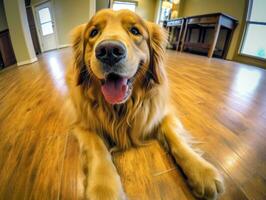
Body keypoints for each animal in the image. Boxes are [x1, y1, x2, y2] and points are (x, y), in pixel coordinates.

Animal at [65, 8, 223, 199]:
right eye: (94, 32)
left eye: (135, 31)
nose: (109, 51)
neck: (122, 108)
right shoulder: (83, 124)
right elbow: (98, 149)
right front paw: (104, 189)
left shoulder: (162, 113)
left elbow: (176, 138)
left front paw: (201, 170)